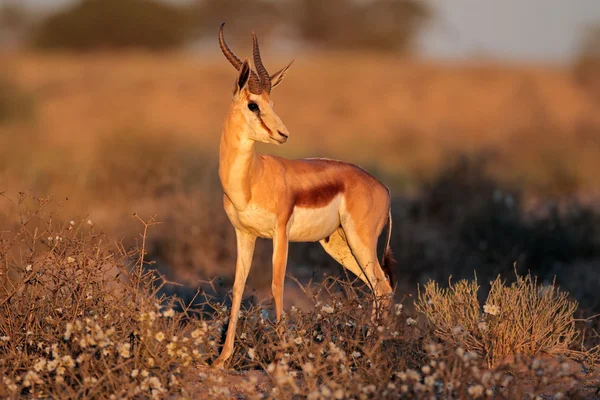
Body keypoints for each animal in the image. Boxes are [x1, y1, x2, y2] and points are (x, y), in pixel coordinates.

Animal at [213, 24, 396, 368]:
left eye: (271, 102)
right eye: (254, 104)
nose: (283, 134)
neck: (252, 178)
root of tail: (382, 187)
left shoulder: (280, 232)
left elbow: (276, 285)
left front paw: (280, 356)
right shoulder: (244, 234)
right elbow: (238, 287)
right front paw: (222, 359)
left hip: (360, 240)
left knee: (383, 288)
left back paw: (371, 355)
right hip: (340, 245)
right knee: (378, 288)